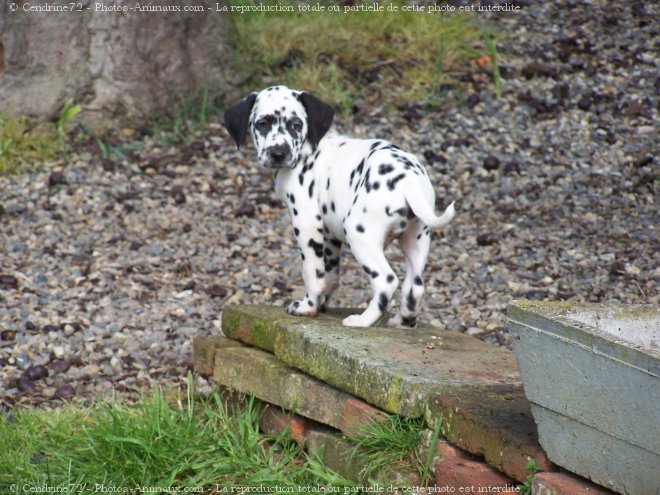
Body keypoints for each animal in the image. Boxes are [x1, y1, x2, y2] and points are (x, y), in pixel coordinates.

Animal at [224, 86, 456, 330]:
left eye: (296, 125)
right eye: (262, 124)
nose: (279, 153)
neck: (309, 151)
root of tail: (408, 179)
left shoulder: (306, 225)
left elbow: (313, 273)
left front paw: (308, 306)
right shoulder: (329, 237)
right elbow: (330, 276)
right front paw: (321, 302)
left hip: (359, 235)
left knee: (387, 281)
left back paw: (362, 320)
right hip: (416, 239)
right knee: (415, 286)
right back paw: (403, 321)